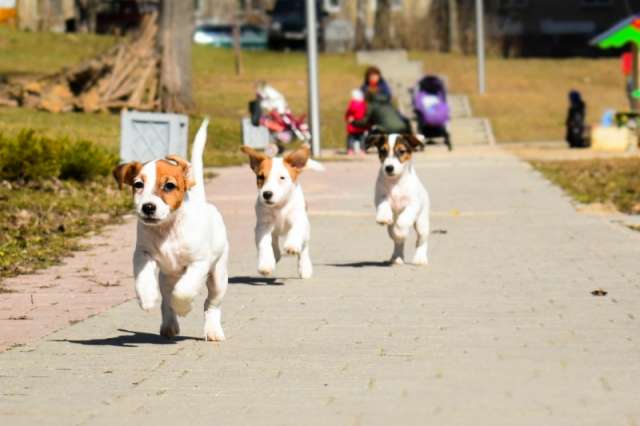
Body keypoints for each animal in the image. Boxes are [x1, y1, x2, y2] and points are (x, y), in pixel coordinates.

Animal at [113, 120, 230, 342]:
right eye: (138, 184)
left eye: (169, 186)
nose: (148, 207)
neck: (168, 229)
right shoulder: (143, 254)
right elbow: (144, 278)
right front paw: (147, 297)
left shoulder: (199, 263)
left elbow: (184, 290)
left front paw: (183, 307)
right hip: (166, 277)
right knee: (166, 301)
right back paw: (169, 325)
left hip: (218, 276)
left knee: (210, 304)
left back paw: (212, 330)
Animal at [241, 145, 316, 280]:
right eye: (260, 177)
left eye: (282, 178)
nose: (266, 194)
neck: (280, 206)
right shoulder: (263, 226)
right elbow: (265, 244)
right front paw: (265, 265)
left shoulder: (299, 219)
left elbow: (295, 231)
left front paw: (291, 245)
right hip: (273, 232)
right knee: (274, 243)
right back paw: (275, 256)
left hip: (306, 229)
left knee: (304, 248)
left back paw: (304, 267)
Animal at [364, 133, 430, 266]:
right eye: (383, 151)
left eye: (401, 151)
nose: (389, 168)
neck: (396, 182)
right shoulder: (380, 197)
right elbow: (384, 205)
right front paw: (383, 217)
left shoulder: (412, 205)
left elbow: (403, 221)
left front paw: (400, 230)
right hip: (390, 229)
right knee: (397, 241)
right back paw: (397, 256)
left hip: (422, 222)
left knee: (421, 240)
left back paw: (420, 258)